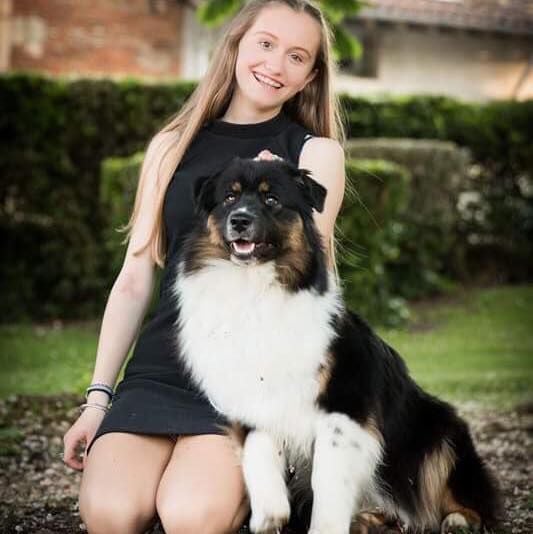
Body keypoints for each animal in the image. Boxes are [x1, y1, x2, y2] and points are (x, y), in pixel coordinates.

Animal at [172, 157, 500, 533]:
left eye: (272, 200)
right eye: (229, 197)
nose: (239, 220)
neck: (255, 290)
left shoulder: (345, 406)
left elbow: (327, 480)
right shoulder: (253, 397)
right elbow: (259, 451)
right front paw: (270, 514)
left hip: (439, 431)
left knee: (465, 496)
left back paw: (458, 518)